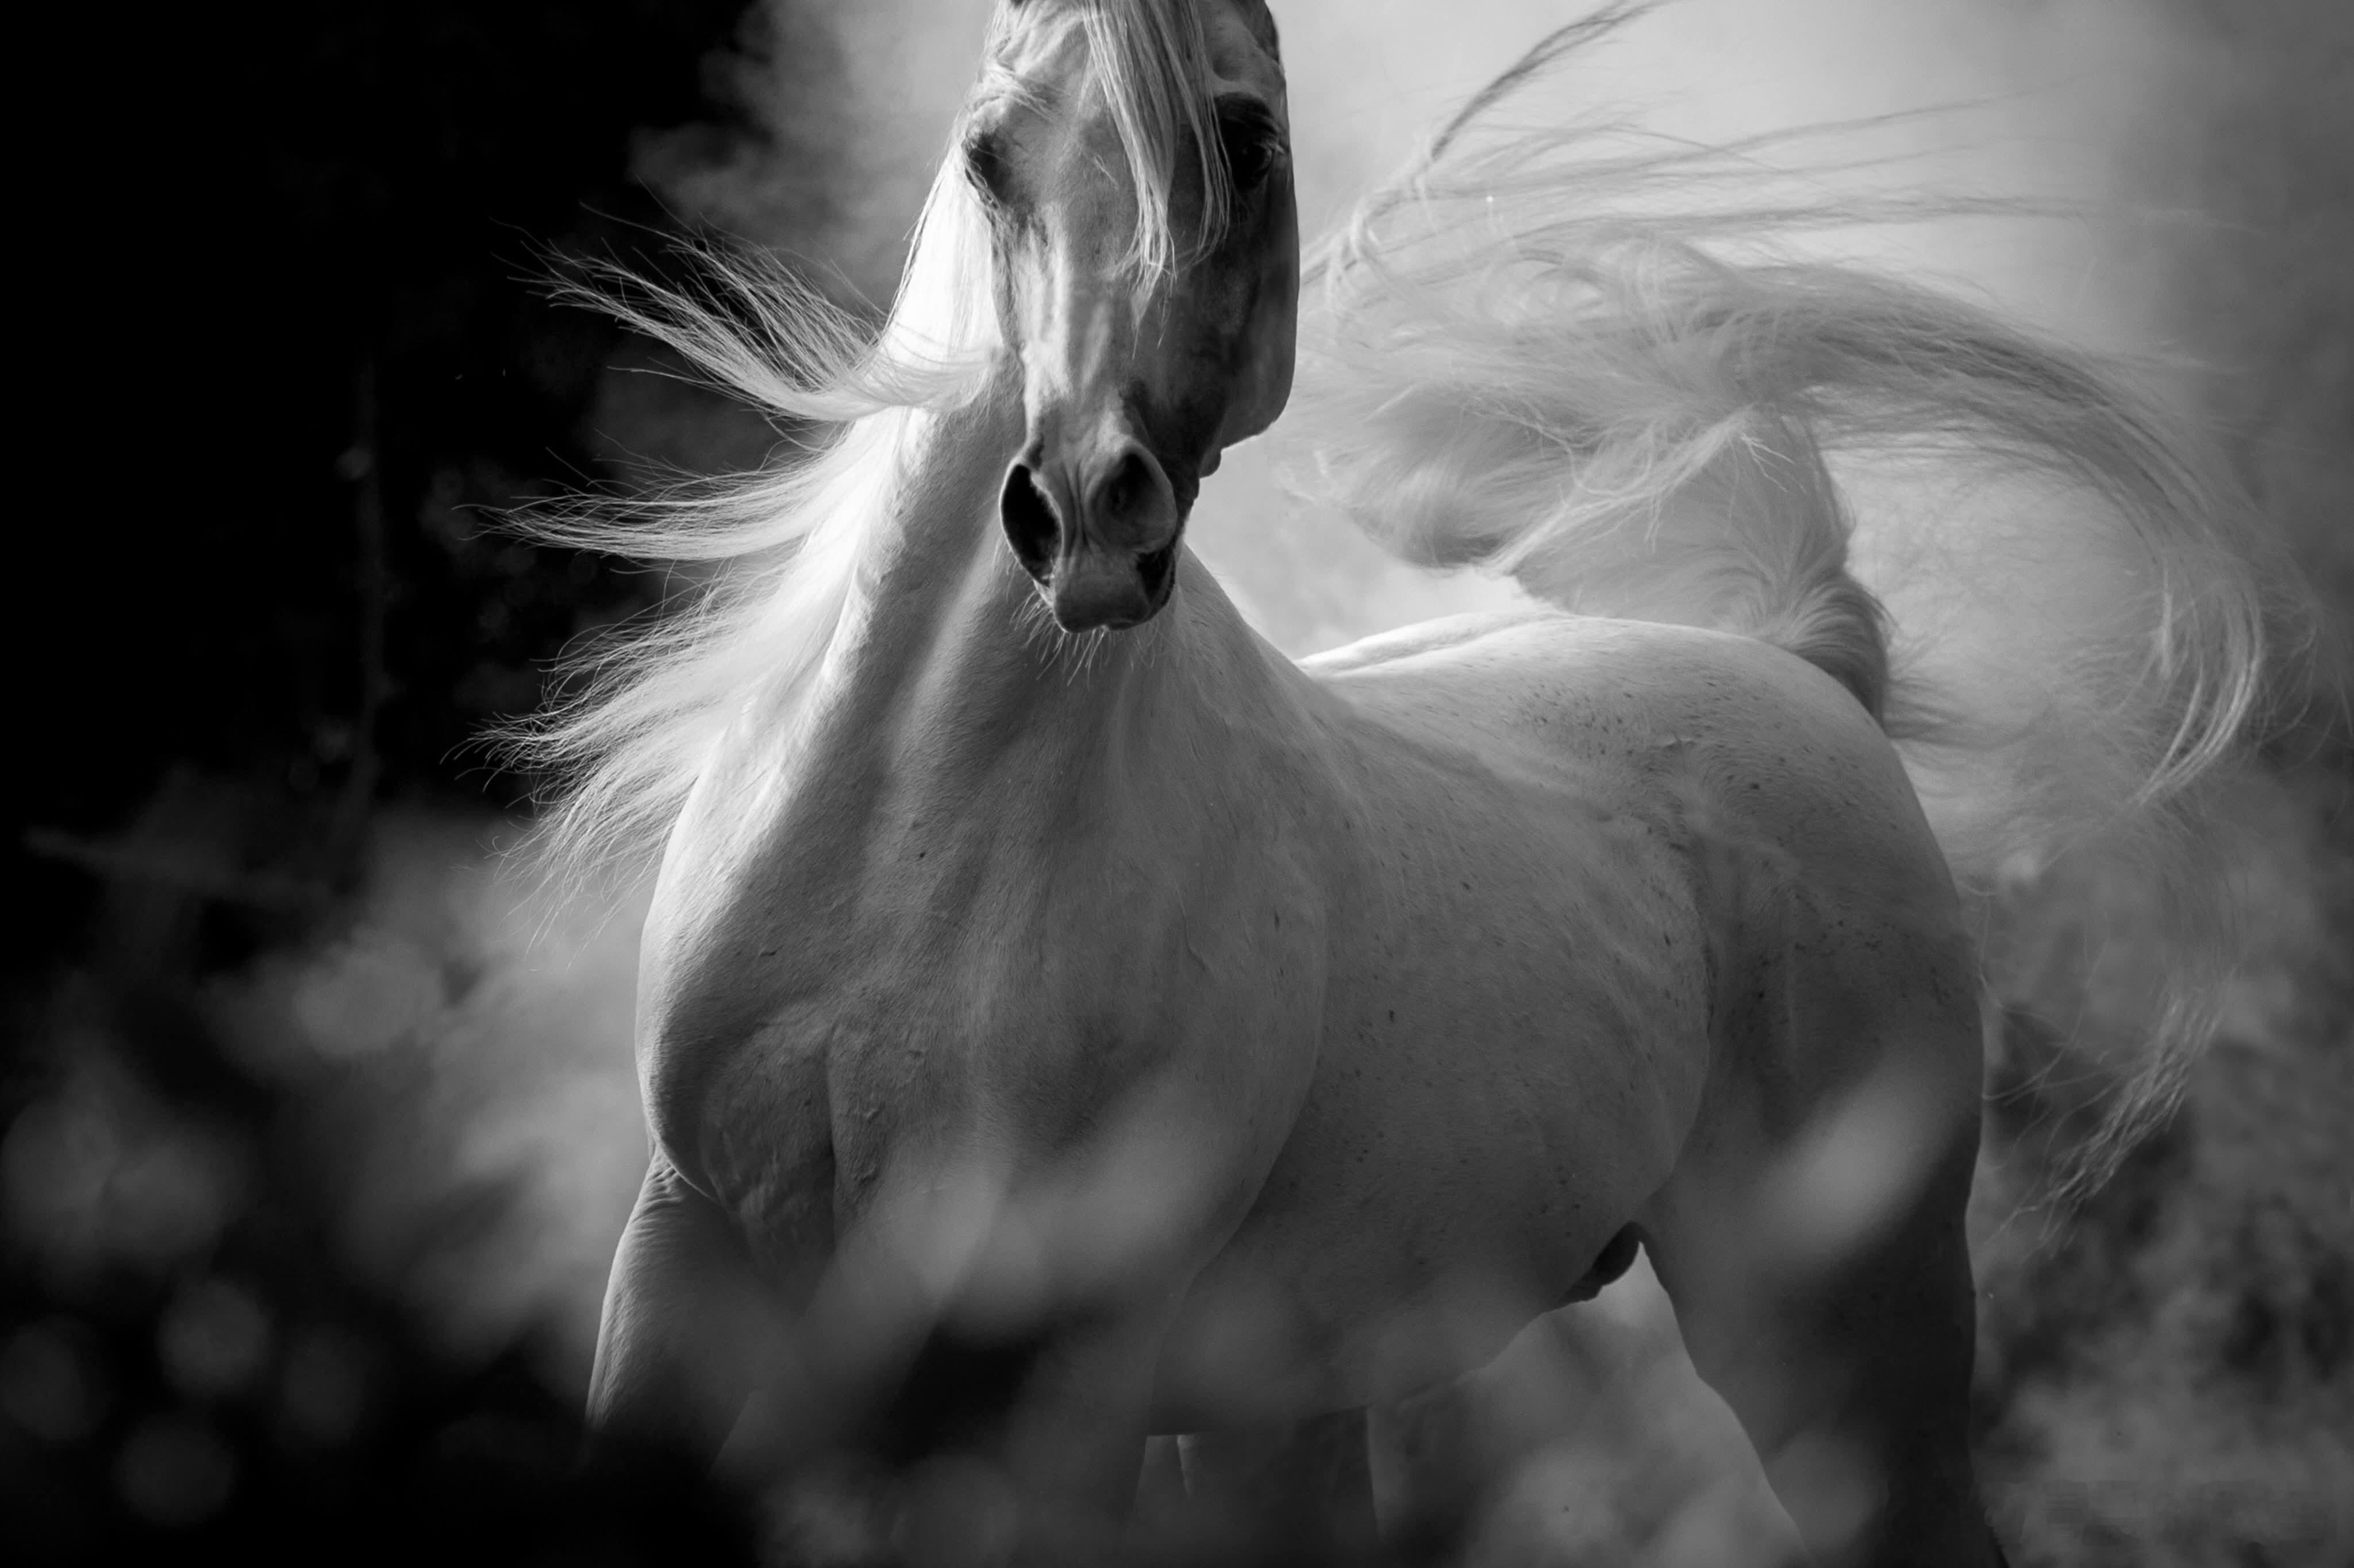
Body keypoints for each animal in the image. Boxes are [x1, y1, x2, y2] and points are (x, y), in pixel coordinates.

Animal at [517, 3, 2267, 1563]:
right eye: (989, 153)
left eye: (1243, 140)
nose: (1086, 520)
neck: (914, 824)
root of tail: (1804, 667)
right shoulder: (687, 1254)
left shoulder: (1052, 1360)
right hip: (1287, 1390)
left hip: (1839, 1326)